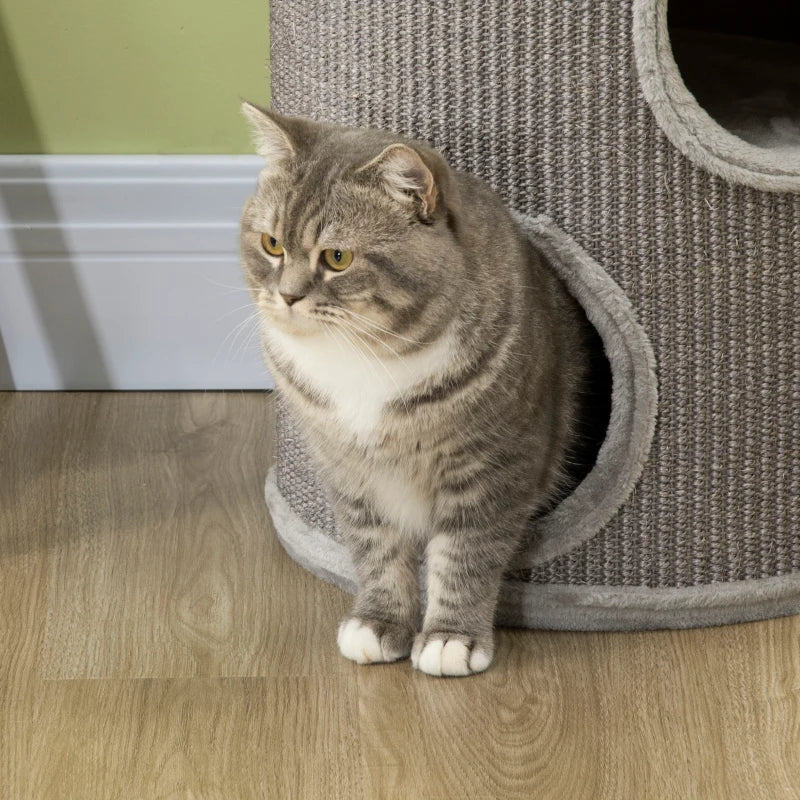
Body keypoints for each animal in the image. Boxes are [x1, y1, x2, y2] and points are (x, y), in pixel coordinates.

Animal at [241, 100, 592, 676]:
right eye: (272, 245)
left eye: (337, 258)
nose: (287, 297)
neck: (367, 358)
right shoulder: (349, 470)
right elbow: (376, 549)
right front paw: (379, 623)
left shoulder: (491, 465)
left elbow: (464, 553)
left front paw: (451, 638)